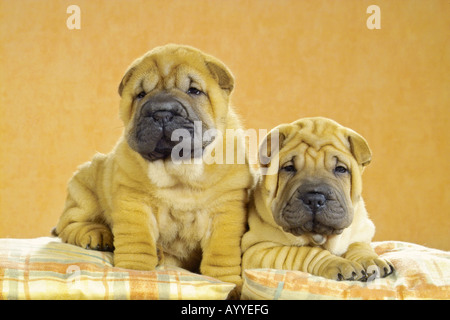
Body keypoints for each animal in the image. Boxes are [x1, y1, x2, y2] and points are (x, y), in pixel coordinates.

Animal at [52, 43, 253, 292]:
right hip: (85, 184)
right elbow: (137, 243)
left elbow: (221, 252)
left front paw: (228, 282)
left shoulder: (225, 210)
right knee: (70, 222)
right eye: (141, 95)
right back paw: (97, 235)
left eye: (194, 91)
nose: (162, 112)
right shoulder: (135, 203)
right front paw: (134, 270)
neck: (178, 170)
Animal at [243, 117, 394, 280]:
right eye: (288, 168)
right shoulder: (256, 250)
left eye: (341, 169)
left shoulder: (360, 232)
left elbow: (358, 245)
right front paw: (339, 263)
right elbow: (303, 252)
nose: (314, 199)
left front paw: (371, 260)